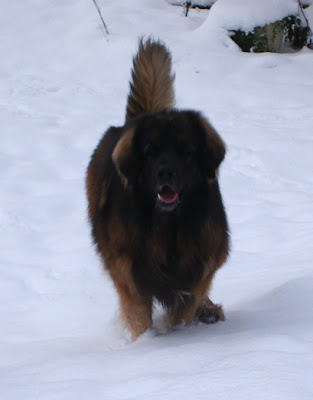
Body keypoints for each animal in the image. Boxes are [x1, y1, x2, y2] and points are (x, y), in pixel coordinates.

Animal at [86, 37, 229, 340]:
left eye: (187, 151)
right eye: (150, 152)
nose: (166, 173)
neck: (168, 228)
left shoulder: (199, 270)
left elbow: (183, 310)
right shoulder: (130, 275)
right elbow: (140, 317)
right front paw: (147, 344)